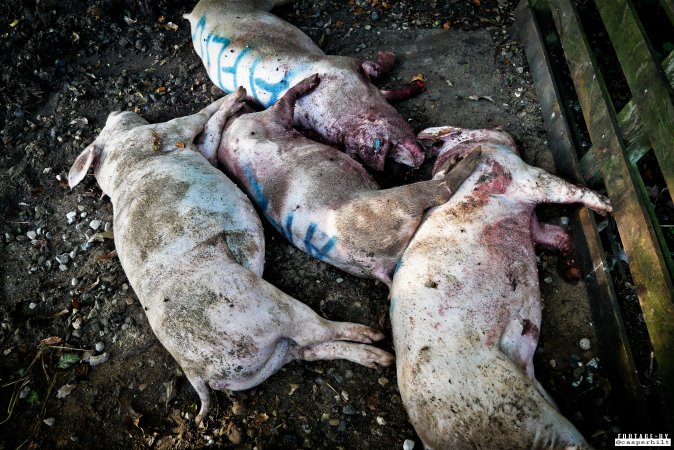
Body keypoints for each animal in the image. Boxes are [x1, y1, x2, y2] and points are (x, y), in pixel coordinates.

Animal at [67, 90, 394, 422]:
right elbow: (200, 117)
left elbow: (210, 135)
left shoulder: (199, 150)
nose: (116, 111)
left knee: (311, 348)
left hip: (270, 357)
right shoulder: (166, 132)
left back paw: (378, 358)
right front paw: (237, 96)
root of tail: (195, 372)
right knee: (316, 331)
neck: (120, 157)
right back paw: (378, 342)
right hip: (266, 307)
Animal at [182, 0, 426, 171]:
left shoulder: (343, 64)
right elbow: (375, 68)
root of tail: (195, 11)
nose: (422, 156)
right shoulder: (342, 63)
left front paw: (417, 85)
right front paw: (391, 57)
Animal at [215, 74, 478, 284]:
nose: (243, 99)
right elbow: (286, 99)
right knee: (439, 190)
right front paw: (315, 79)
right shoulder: (270, 120)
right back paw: (473, 156)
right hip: (394, 203)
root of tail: (377, 268)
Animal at [384, 126, 608, 450]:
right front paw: (607, 207)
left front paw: (572, 272)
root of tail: (432, 439)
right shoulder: (521, 175)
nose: (502, 128)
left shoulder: (531, 221)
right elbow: (564, 189)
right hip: (512, 408)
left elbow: (556, 233)